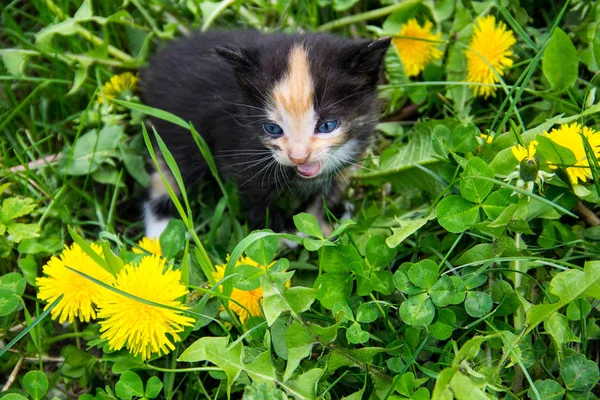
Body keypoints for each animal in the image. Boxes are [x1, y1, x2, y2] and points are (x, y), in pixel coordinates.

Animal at [141, 31, 394, 238]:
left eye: (327, 126)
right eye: (272, 129)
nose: (298, 157)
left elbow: (329, 193)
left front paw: (324, 224)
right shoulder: (240, 150)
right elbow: (256, 199)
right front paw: (282, 233)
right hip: (178, 130)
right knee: (168, 172)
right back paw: (159, 234)